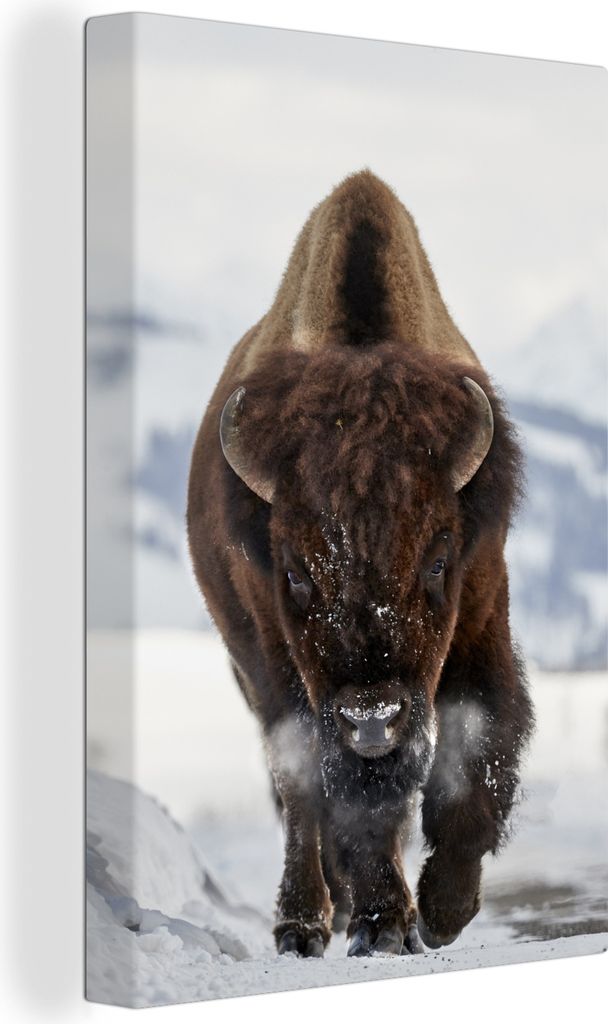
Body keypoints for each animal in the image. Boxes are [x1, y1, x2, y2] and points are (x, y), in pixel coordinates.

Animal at [187, 170, 533, 958]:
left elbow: (479, 752)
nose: (371, 720)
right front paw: (382, 923)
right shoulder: (287, 667)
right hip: (258, 674)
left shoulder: (482, 614)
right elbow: (339, 796)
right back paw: (306, 922)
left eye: (438, 559)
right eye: (294, 572)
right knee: (298, 794)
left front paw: (442, 911)